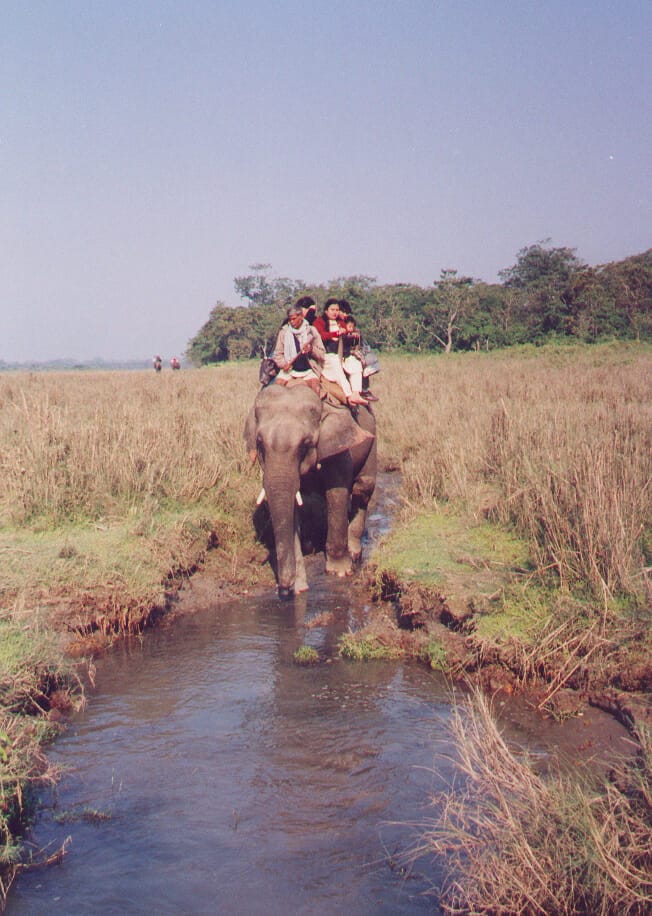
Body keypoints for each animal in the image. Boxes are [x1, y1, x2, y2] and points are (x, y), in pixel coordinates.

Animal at [244, 384, 377, 598]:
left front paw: (339, 572)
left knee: (362, 488)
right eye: (259, 442)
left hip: (372, 437)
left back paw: (354, 553)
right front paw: (300, 588)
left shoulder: (338, 447)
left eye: (305, 443)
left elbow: (337, 493)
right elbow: (292, 505)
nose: (284, 590)